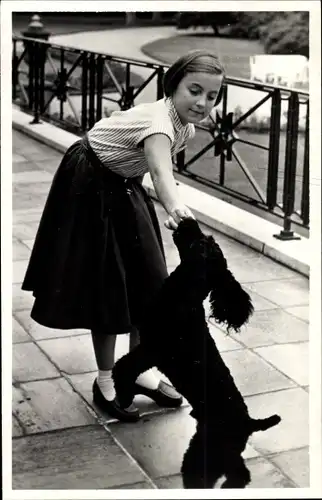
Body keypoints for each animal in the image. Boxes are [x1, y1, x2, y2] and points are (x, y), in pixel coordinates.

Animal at [113, 219, 282, 488]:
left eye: (201, 242)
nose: (187, 220)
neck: (183, 297)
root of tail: (248, 423)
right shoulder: (149, 347)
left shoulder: (152, 349)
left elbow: (124, 367)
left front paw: (125, 395)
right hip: (223, 451)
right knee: (241, 472)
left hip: (204, 453)